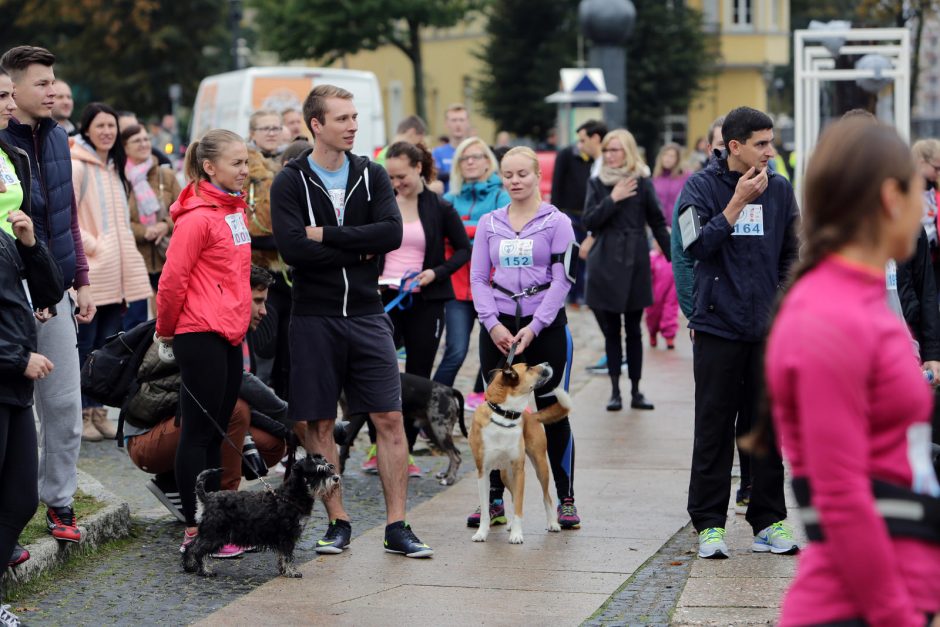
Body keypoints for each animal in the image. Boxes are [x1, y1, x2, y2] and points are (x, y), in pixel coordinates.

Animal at [182, 456, 340, 580]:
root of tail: (207, 498)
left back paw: (189, 566)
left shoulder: (283, 538)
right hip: (215, 534)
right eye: (318, 471)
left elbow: (282, 556)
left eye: (330, 467)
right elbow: (288, 556)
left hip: (208, 532)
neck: (290, 497)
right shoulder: (288, 536)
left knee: (190, 546)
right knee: (198, 550)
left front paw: (283, 570)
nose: (336, 478)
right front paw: (292, 572)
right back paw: (205, 571)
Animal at [340, 372, 468, 486]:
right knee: (454, 452)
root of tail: (449, 390)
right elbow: (342, 446)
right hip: (433, 432)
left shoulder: (357, 417)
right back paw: (446, 475)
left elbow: (344, 445)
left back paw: (449, 479)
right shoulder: (346, 416)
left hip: (440, 431)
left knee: (456, 457)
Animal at [466, 364, 568, 544]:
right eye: (529, 368)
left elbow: (519, 506)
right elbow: (485, 510)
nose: (547, 364)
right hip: (505, 474)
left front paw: (516, 534)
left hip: (540, 466)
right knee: (514, 496)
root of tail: (531, 415)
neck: (503, 415)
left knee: (546, 497)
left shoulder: (520, 470)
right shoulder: (483, 472)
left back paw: (553, 523)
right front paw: (482, 533)